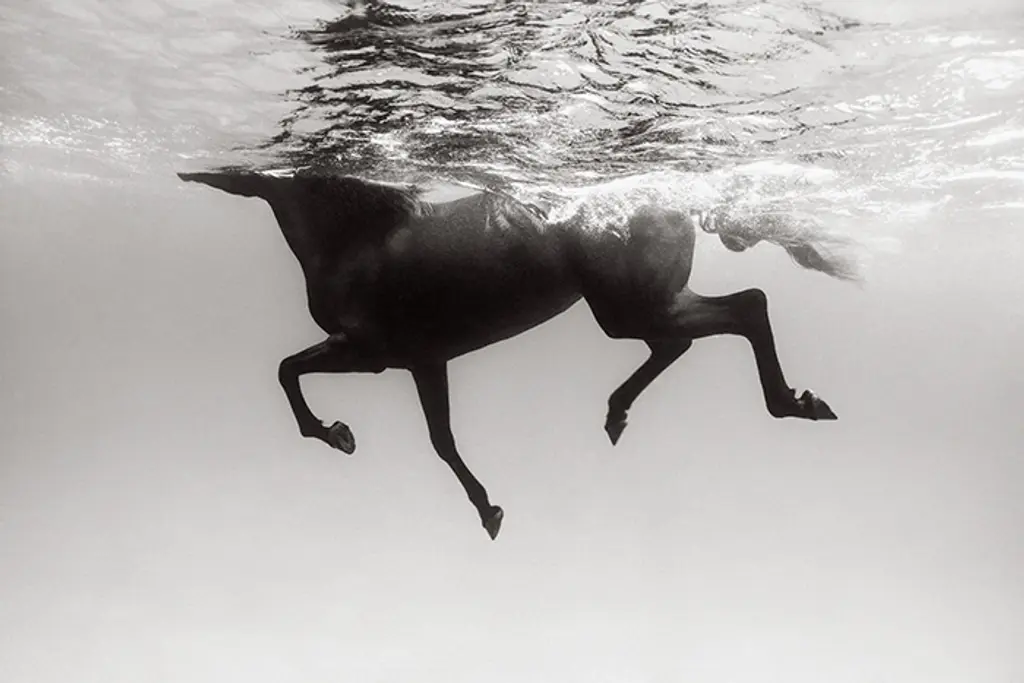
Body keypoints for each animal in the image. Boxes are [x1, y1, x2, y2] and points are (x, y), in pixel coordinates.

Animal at [178, 169, 849, 540]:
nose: (192, 175)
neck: (358, 240)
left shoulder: (377, 352)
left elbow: (289, 372)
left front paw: (336, 434)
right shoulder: (418, 360)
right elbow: (436, 437)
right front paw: (487, 508)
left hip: (627, 308)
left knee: (742, 309)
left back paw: (793, 404)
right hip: (635, 306)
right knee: (698, 329)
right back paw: (620, 414)